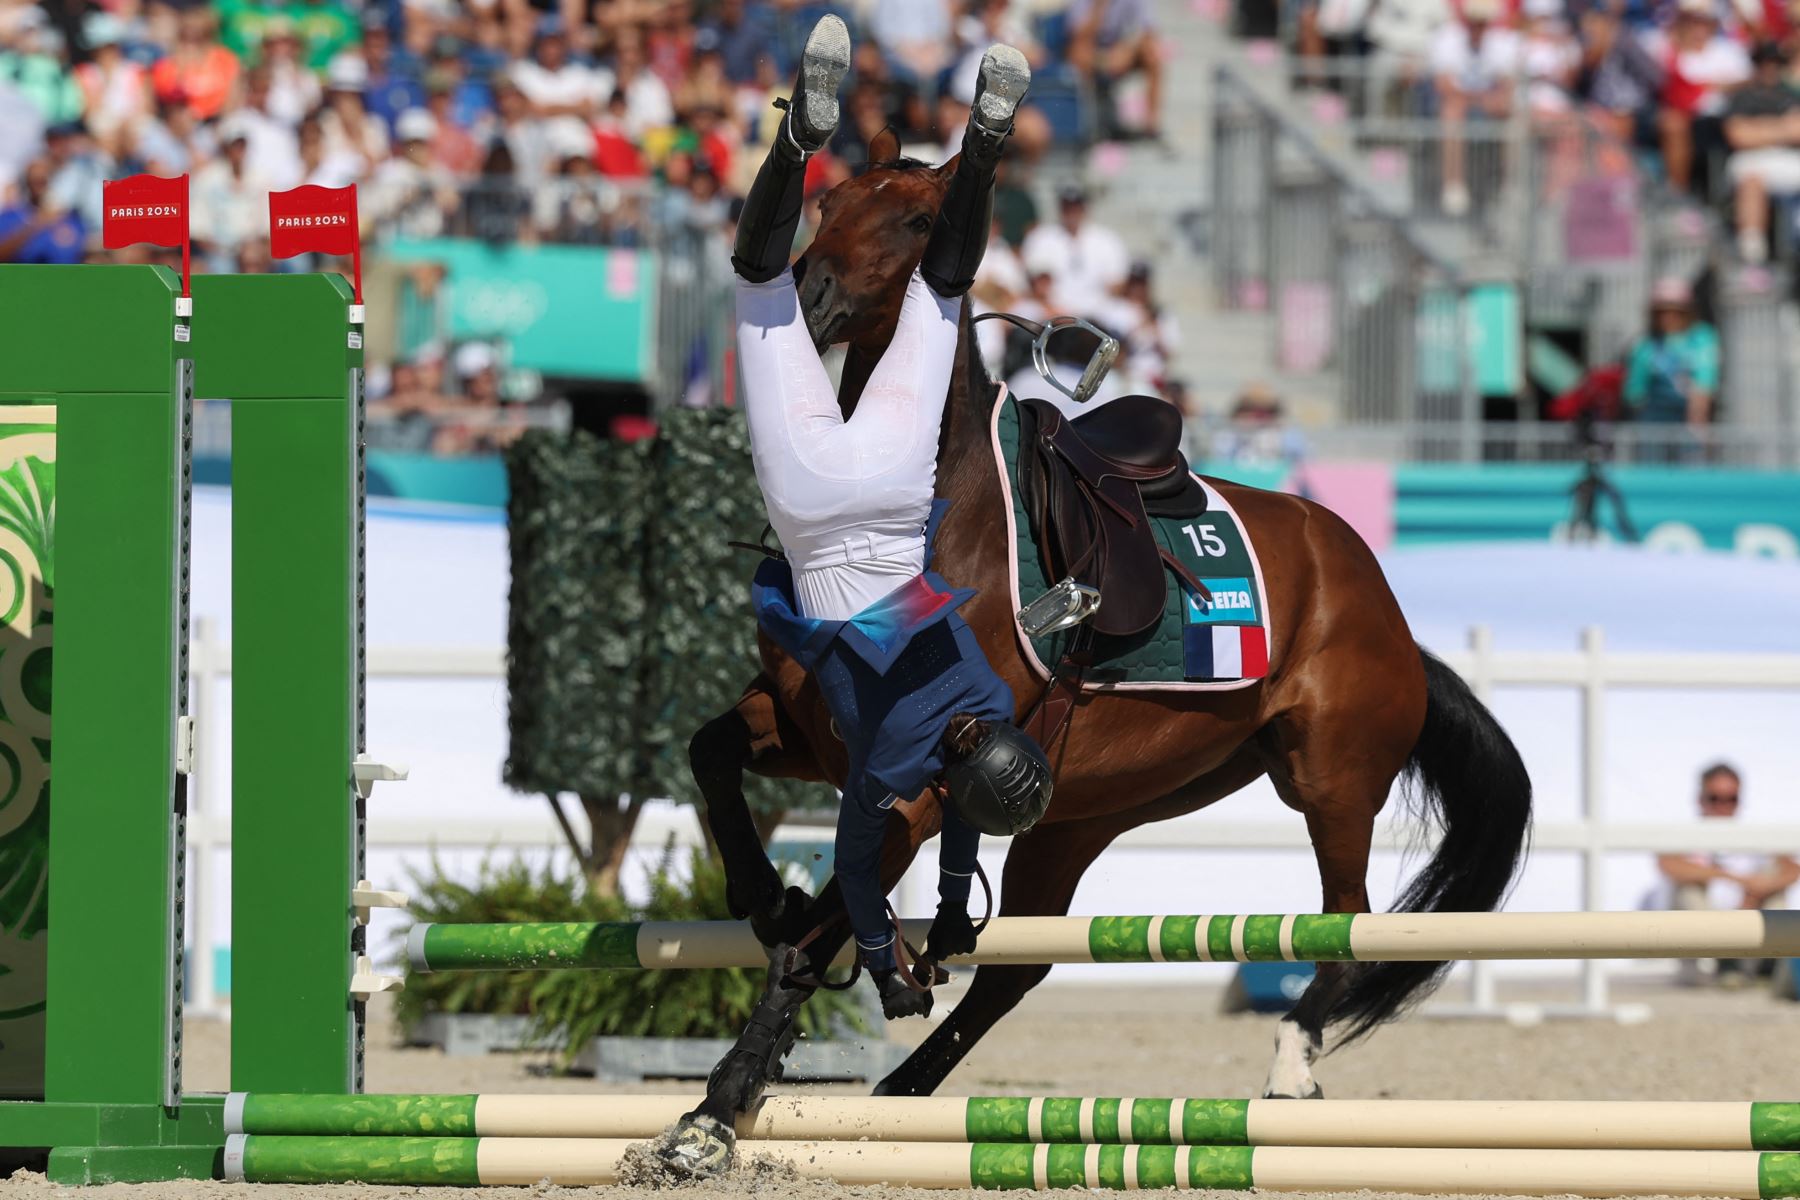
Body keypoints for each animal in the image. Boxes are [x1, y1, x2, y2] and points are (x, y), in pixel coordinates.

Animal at [669, 134, 1526, 1173]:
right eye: (827, 203)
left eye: (919, 219)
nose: (810, 291)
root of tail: (1385, 605)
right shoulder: (808, 732)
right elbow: (714, 756)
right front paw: (762, 895)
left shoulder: (906, 788)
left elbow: (812, 940)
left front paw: (719, 1105)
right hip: (1084, 815)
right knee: (1020, 969)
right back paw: (908, 1091)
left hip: (1331, 785)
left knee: (1344, 921)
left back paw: (1290, 1065)